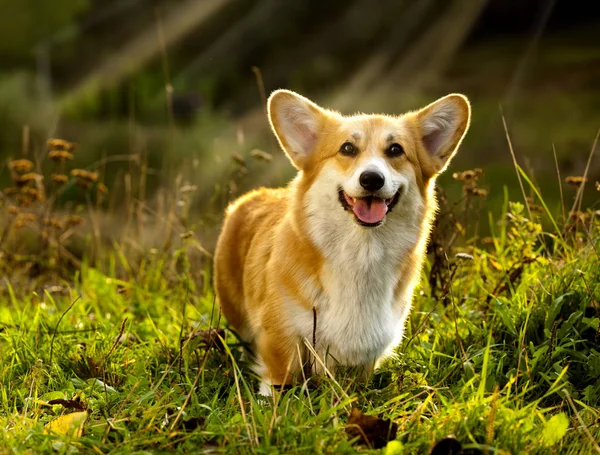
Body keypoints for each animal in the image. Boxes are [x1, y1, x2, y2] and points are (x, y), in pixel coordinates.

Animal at [213, 90, 472, 396]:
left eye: (395, 150)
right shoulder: (281, 345)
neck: (361, 254)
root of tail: (254, 195)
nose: (371, 179)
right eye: (347, 148)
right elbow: (278, 388)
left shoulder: (365, 358)